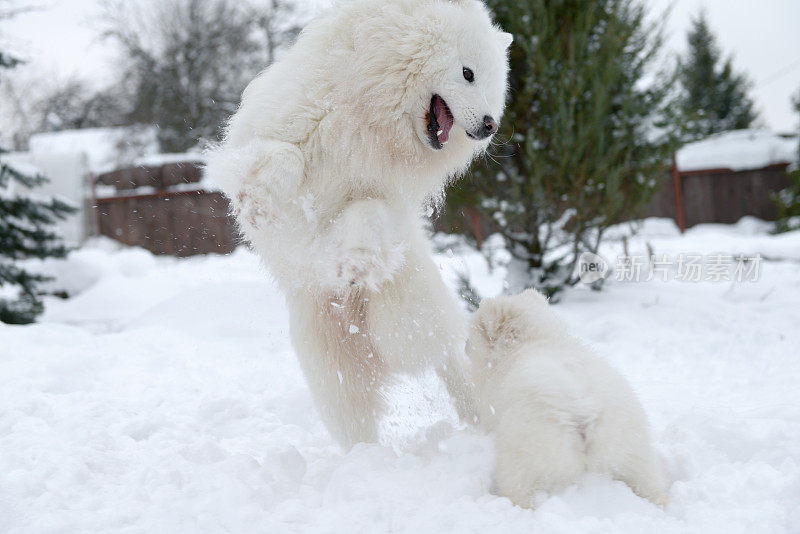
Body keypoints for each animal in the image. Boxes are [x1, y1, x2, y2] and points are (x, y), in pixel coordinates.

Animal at [203, 0, 510, 450]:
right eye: (468, 73)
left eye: (494, 86)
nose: (490, 125)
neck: (370, 117)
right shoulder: (264, 141)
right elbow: (284, 157)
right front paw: (258, 201)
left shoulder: (383, 198)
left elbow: (366, 215)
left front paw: (356, 264)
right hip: (329, 364)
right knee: (356, 418)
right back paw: (364, 459)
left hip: (407, 323)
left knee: (444, 358)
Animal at [466, 292, 664, 508]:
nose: (465, 346)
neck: (533, 340)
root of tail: (584, 412)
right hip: (634, 454)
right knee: (651, 487)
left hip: (523, 458)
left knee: (519, 491)